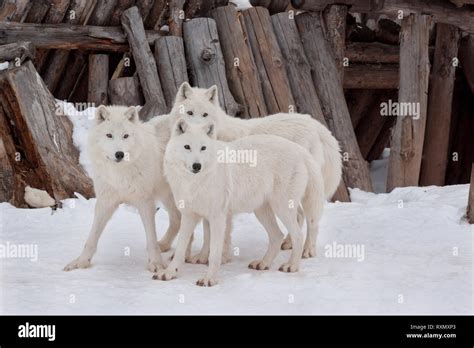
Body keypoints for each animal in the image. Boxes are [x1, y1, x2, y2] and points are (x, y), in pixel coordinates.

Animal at [63, 104, 181, 274]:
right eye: (109, 135)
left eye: (125, 136)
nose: (119, 154)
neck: (120, 175)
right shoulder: (105, 203)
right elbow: (91, 238)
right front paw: (81, 262)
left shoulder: (145, 203)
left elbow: (151, 238)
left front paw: (156, 263)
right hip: (167, 196)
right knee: (177, 219)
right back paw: (165, 246)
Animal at [154, 119, 324, 286]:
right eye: (187, 147)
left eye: (203, 148)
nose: (197, 166)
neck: (193, 182)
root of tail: (299, 149)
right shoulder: (190, 216)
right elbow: (181, 249)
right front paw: (169, 273)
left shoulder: (217, 218)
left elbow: (214, 252)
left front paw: (209, 279)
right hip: (262, 211)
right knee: (278, 235)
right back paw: (263, 263)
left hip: (282, 208)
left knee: (298, 235)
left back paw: (292, 265)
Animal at [166, 81, 340, 260]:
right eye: (190, 112)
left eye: (205, 114)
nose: (197, 131)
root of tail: (314, 123)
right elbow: (208, 230)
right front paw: (203, 257)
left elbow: (214, 233)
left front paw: (214, 257)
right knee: (300, 216)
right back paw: (288, 243)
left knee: (311, 220)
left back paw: (307, 249)